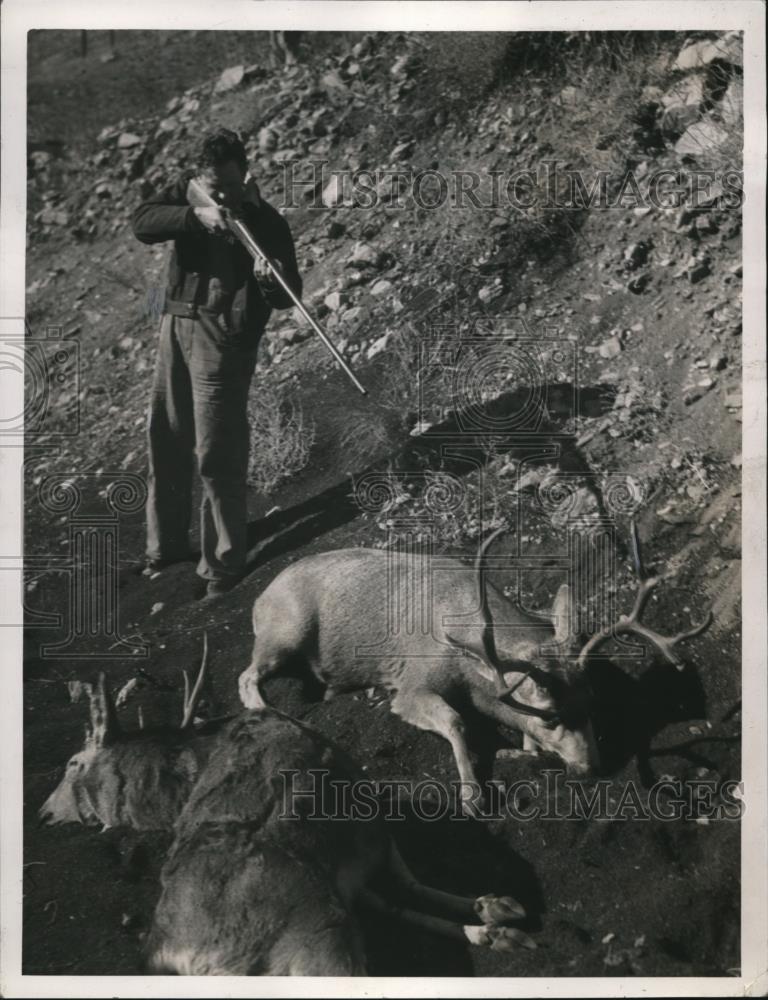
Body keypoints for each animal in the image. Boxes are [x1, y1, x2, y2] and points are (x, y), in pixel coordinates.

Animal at [39, 640, 536, 976]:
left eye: (72, 763)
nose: (43, 814)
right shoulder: (362, 828)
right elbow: (401, 889)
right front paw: (491, 917)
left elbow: (399, 891)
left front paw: (493, 916)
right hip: (320, 941)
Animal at [240, 528, 712, 816]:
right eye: (552, 718)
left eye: (593, 706)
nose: (592, 769)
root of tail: (260, 596)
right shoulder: (411, 683)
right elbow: (454, 719)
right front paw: (472, 794)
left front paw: (517, 752)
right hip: (286, 630)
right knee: (247, 676)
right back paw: (272, 713)